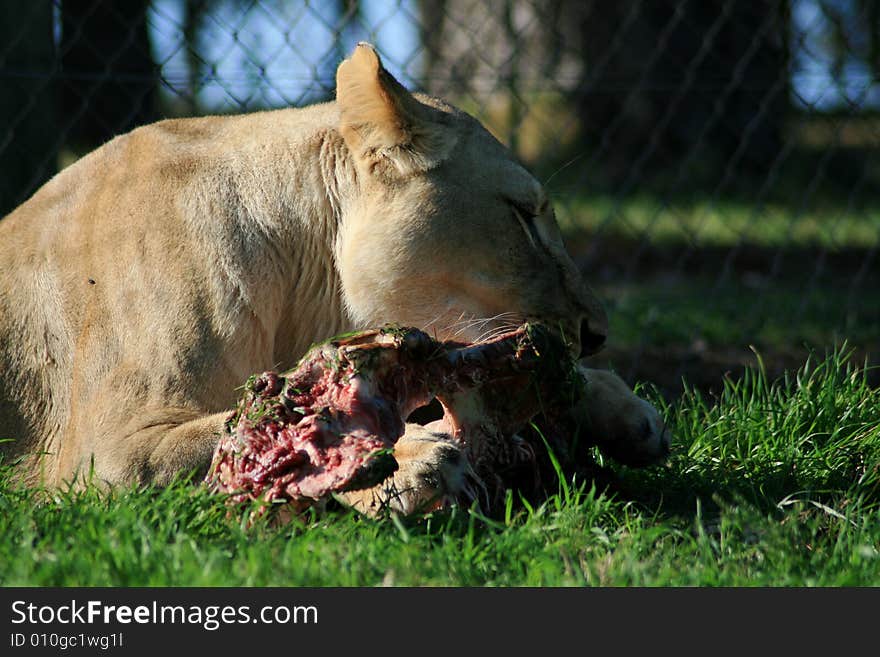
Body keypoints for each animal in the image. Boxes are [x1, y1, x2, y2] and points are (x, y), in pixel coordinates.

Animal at [0, 42, 668, 512]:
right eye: (524, 216)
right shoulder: (108, 455)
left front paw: (622, 409)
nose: (597, 334)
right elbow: (258, 430)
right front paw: (412, 460)